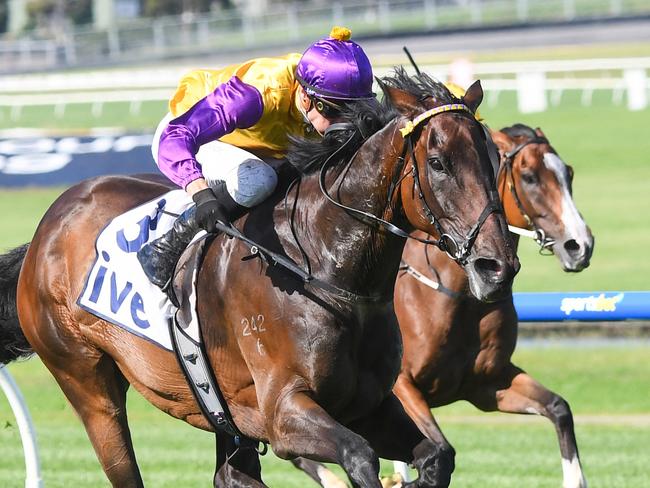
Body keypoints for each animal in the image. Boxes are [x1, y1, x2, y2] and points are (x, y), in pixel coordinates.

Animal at [0, 71, 516, 488]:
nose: (498, 266)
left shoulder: (369, 404)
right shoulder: (283, 413)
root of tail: (48, 227)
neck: (325, 271)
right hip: (87, 383)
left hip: (219, 413)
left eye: (494, 158)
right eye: (439, 163)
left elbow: (437, 455)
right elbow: (359, 456)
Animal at [390, 123, 592, 488]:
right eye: (529, 177)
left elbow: (559, 408)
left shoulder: (488, 383)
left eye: (567, 173)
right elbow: (438, 449)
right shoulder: (403, 385)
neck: (460, 296)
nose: (580, 245)